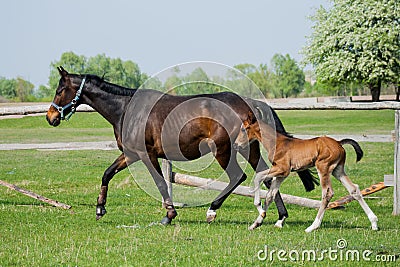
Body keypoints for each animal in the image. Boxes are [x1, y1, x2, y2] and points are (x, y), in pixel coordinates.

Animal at [234, 114, 378, 233]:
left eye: (244, 129)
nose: (235, 145)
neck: (278, 142)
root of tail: (339, 142)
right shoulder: (282, 174)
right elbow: (271, 195)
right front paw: (257, 223)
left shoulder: (282, 169)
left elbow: (258, 177)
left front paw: (258, 207)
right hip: (338, 170)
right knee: (354, 189)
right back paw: (374, 223)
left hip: (323, 167)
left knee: (328, 193)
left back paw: (313, 226)